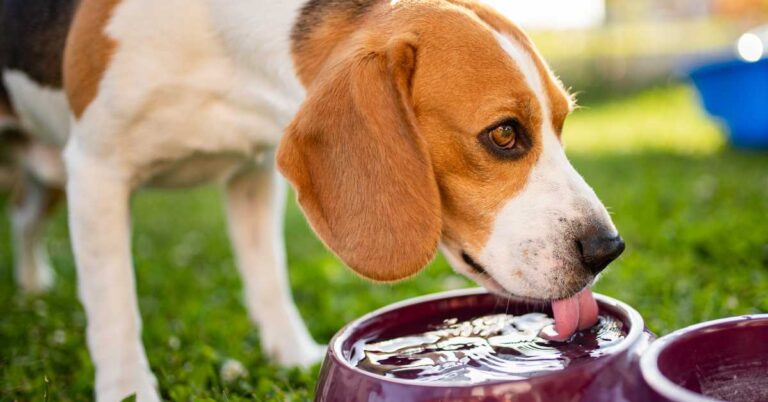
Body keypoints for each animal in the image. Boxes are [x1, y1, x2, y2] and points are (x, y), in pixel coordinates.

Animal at [0, 0, 624, 398]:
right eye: (504, 134)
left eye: (562, 123)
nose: (607, 248)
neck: (223, 49)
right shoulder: (98, 170)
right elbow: (114, 306)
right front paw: (128, 388)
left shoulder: (253, 173)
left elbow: (268, 277)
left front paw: (292, 354)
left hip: (47, 175)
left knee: (26, 221)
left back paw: (32, 285)